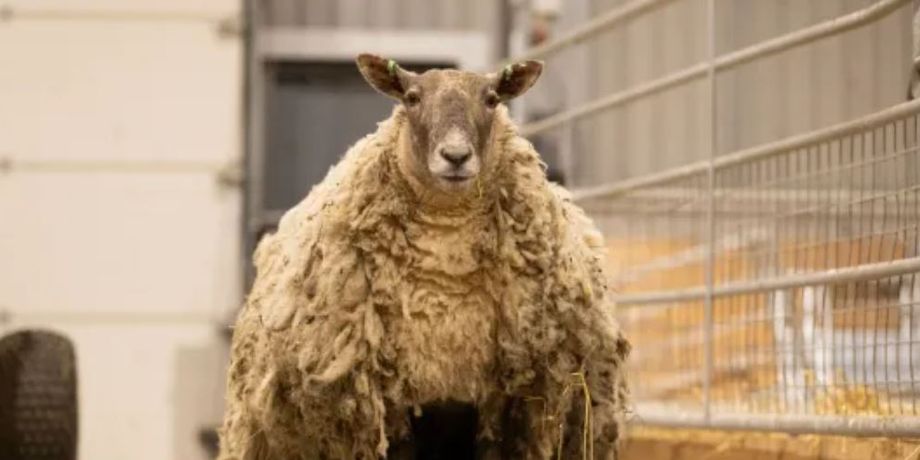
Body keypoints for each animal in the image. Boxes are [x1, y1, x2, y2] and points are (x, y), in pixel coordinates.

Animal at [217, 53, 630, 460]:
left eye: (491, 100)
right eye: (412, 98)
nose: (456, 156)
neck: (444, 279)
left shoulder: (501, 405)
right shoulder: (390, 406)